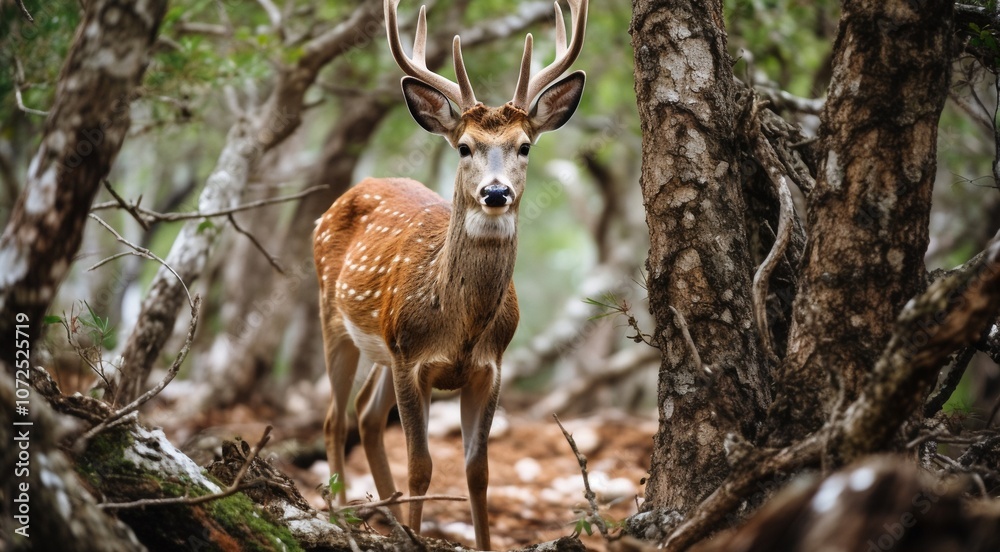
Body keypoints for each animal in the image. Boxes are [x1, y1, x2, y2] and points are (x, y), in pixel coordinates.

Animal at [313, 0, 587, 548]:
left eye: (525, 145)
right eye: (463, 146)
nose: (496, 192)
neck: (461, 327)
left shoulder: (490, 366)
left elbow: (478, 470)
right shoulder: (411, 360)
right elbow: (421, 465)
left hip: (382, 346)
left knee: (366, 414)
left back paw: (395, 522)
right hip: (335, 318)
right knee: (335, 418)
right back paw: (342, 515)